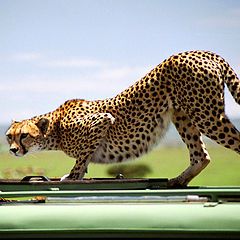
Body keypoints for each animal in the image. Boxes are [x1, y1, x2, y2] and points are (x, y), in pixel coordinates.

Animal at [5, 50, 240, 186]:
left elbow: (81, 157)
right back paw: (178, 181)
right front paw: (77, 175)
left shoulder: (101, 121)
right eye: (9, 136)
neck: (56, 128)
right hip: (183, 115)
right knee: (201, 156)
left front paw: (71, 176)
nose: (13, 150)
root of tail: (201, 52)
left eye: (24, 135)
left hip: (207, 115)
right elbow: (84, 159)